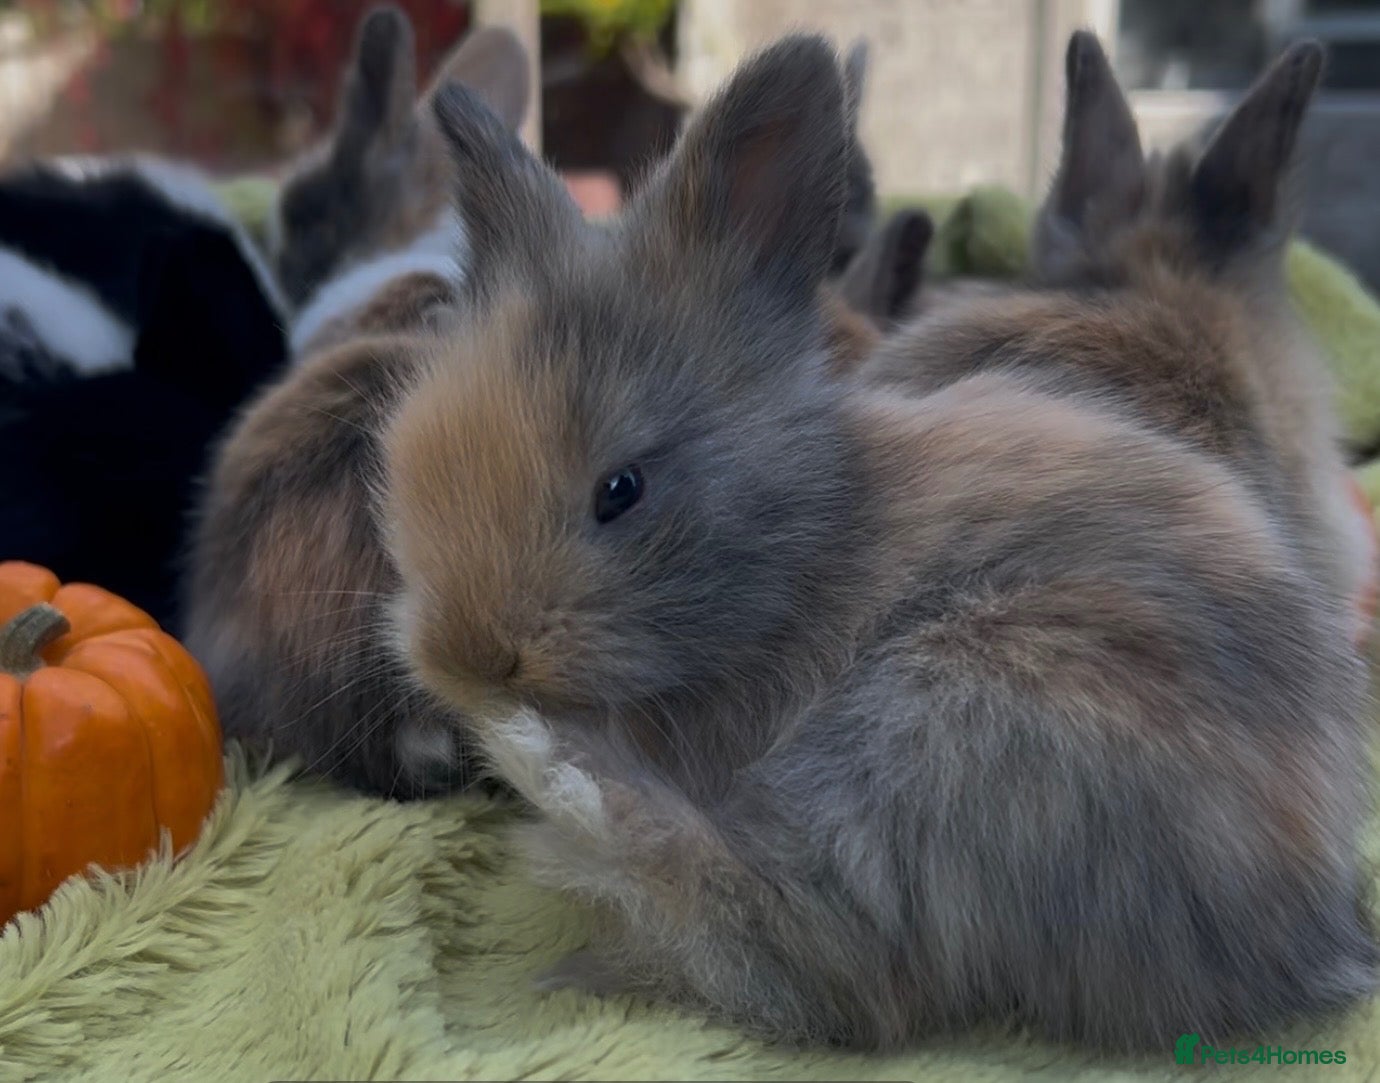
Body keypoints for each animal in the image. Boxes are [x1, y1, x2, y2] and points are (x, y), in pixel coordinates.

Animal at [375, 33, 1376, 1052]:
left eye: (622, 490)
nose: (467, 661)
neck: (798, 556)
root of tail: (1305, 931)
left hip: (962, 713)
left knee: (826, 959)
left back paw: (559, 790)